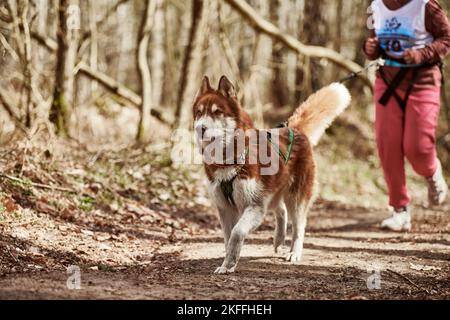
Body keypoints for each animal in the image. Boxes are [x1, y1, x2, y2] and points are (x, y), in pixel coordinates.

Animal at [193, 75, 352, 272]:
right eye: (199, 113)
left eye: (217, 112)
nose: (199, 128)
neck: (229, 159)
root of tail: (295, 129)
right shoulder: (225, 207)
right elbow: (228, 237)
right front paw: (227, 263)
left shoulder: (255, 205)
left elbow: (237, 232)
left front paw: (229, 263)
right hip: (272, 191)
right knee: (281, 210)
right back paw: (279, 239)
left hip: (295, 197)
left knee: (299, 225)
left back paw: (294, 252)